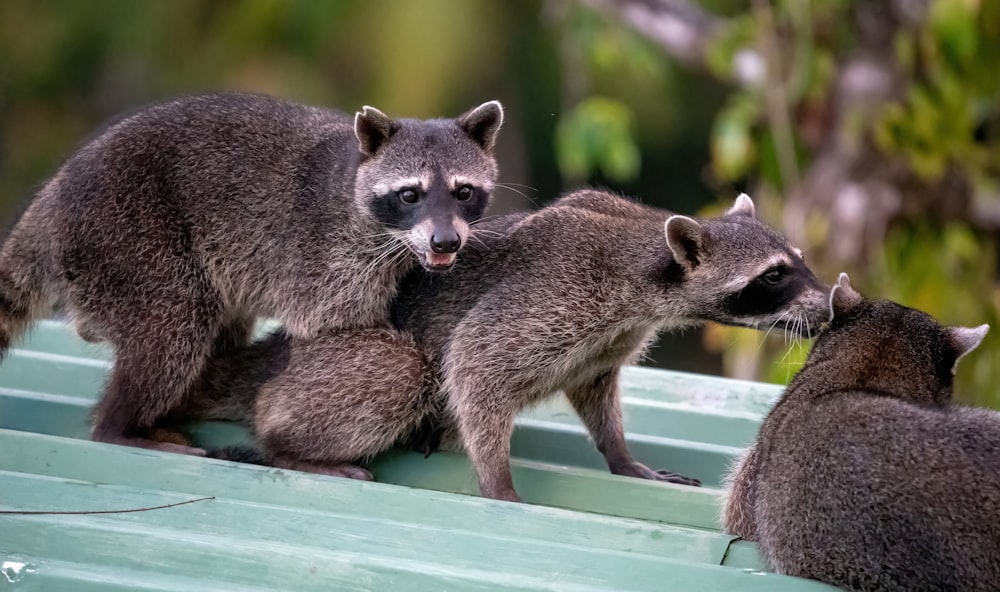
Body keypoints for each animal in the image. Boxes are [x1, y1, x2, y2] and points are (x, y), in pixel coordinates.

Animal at [0, 91, 500, 454]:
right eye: (410, 194)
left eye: (463, 191)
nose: (445, 242)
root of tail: (53, 200)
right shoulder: (326, 256)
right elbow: (330, 326)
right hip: (128, 235)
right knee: (173, 325)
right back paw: (120, 425)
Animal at [186, 190, 828, 500]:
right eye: (775, 275)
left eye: (799, 260)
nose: (828, 305)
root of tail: (274, 351)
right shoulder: (559, 292)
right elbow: (474, 362)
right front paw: (498, 480)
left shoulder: (608, 335)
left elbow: (595, 388)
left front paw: (619, 454)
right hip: (328, 362)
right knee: (404, 371)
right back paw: (287, 443)